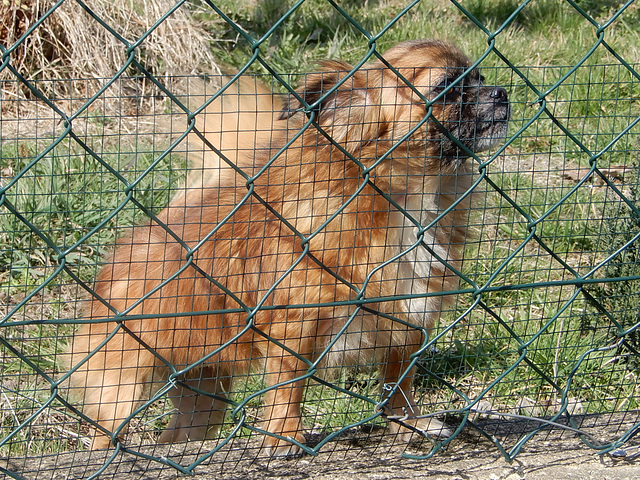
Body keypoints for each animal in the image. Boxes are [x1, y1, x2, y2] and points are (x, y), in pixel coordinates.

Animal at [69, 39, 510, 456]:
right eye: (446, 88)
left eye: (480, 77)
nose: (502, 92)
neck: (403, 195)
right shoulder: (293, 328)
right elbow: (290, 387)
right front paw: (284, 435)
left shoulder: (410, 320)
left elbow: (399, 381)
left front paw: (409, 424)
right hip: (122, 386)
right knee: (104, 434)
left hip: (204, 396)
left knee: (177, 435)